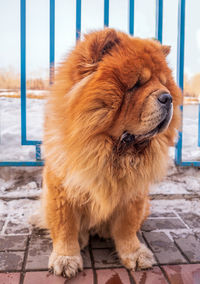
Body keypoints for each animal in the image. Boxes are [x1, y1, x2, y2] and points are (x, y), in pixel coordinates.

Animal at [41, 27, 181, 276]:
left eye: (164, 84)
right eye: (135, 84)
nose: (168, 97)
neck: (110, 152)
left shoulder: (133, 193)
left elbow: (127, 226)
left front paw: (135, 254)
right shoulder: (61, 188)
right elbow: (64, 225)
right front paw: (66, 259)